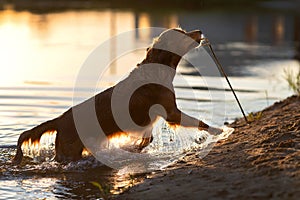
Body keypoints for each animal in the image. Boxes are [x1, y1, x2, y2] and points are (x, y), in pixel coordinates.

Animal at [12, 28, 223, 166]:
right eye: (182, 33)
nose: (199, 31)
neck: (157, 69)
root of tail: (60, 119)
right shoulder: (171, 111)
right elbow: (199, 122)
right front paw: (218, 130)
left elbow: (147, 139)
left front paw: (132, 148)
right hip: (70, 151)